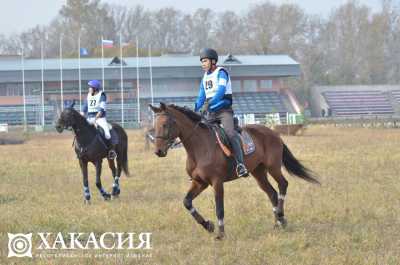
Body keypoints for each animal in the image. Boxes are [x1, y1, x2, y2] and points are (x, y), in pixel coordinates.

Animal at [149, 102, 318, 239]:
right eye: (154, 125)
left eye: (165, 124)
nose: (158, 151)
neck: (199, 148)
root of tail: (273, 132)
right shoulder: (199, 182)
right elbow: (187, 202)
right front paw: (208, 225)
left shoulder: (217, 182)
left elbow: (219, 208)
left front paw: (221, 234)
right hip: (258, 172)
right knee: (271, 193)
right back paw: (278, 222)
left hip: (273, 167)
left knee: (283, 184)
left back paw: (281, 216)